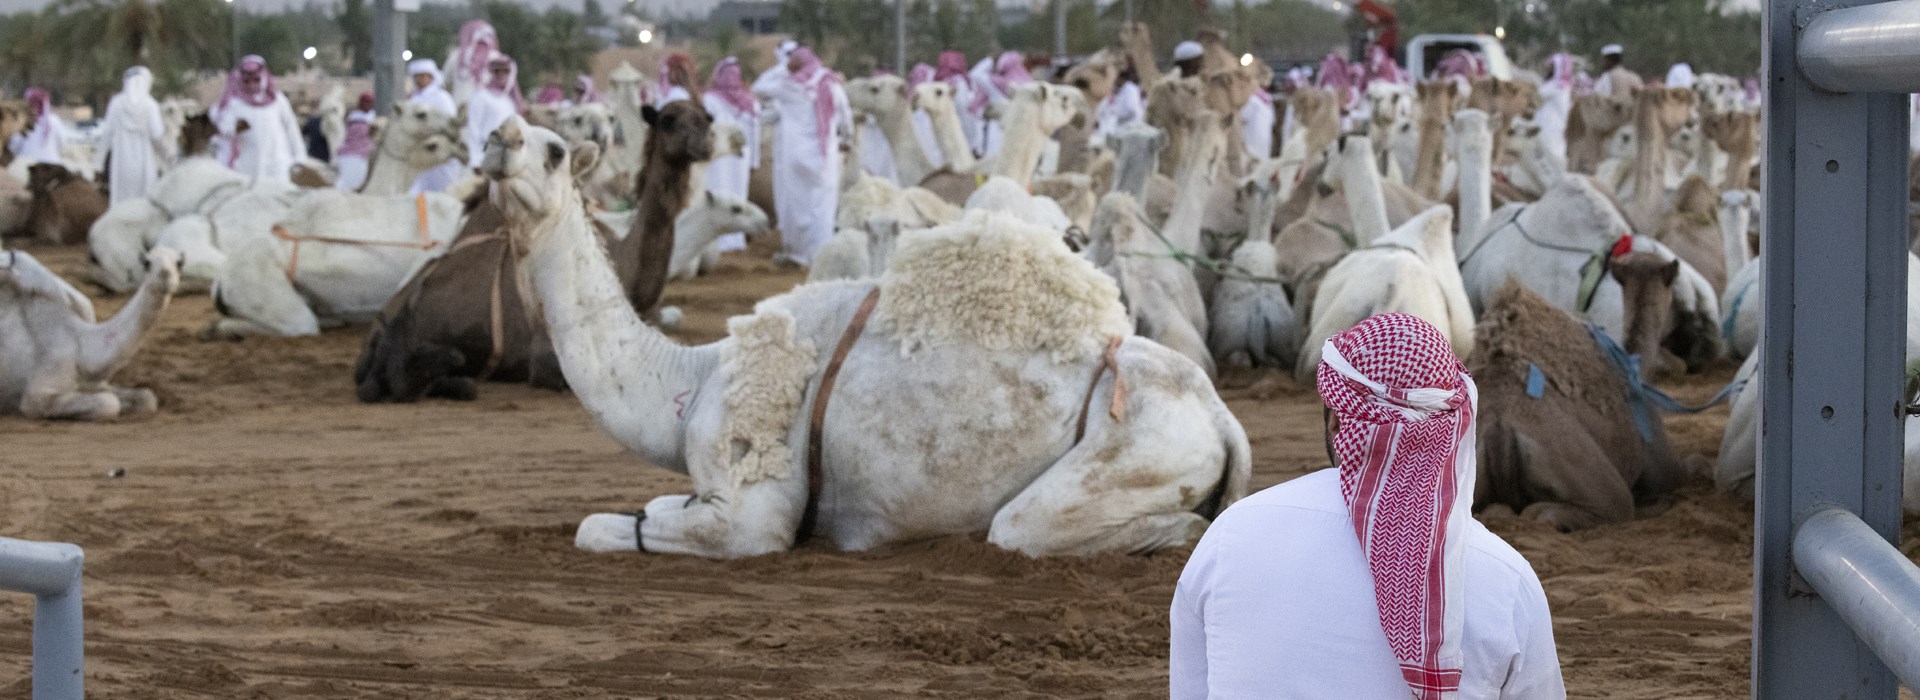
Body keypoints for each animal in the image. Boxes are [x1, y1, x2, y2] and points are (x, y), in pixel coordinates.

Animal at [1, 247, 180, 418]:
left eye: (179, 263)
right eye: (147, 263)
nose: (166, 277)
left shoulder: (96, 383)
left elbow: (147, 397)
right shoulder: (37, 395)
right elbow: (109, 403)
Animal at [487, 118, 1251, 556]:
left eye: (555, 151)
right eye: (504, 130)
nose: (498, 140)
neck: (688, 381)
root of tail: (1221, 419)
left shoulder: (751, 511)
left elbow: (603, 528)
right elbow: (638, 513)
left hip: (1133, 450)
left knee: (1042, 529)